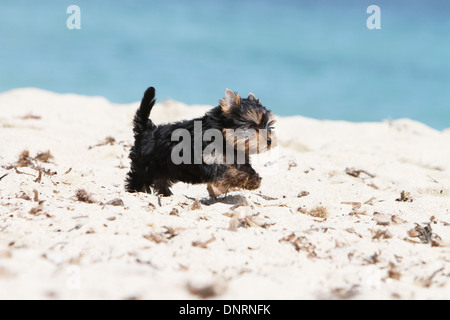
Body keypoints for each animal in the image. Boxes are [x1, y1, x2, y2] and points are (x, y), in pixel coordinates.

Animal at [125, 86, 276, 196]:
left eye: (268, 125)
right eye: (251, 126)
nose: (269, 141)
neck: (225, 139)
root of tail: (147, 129)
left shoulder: (237, 157)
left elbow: (245, 168)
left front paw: (253, 180)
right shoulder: (208, 160)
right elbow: (225, 171)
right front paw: (241, 178)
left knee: (161, 180)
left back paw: (166, 194)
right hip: (144, 166)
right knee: (137, 178)